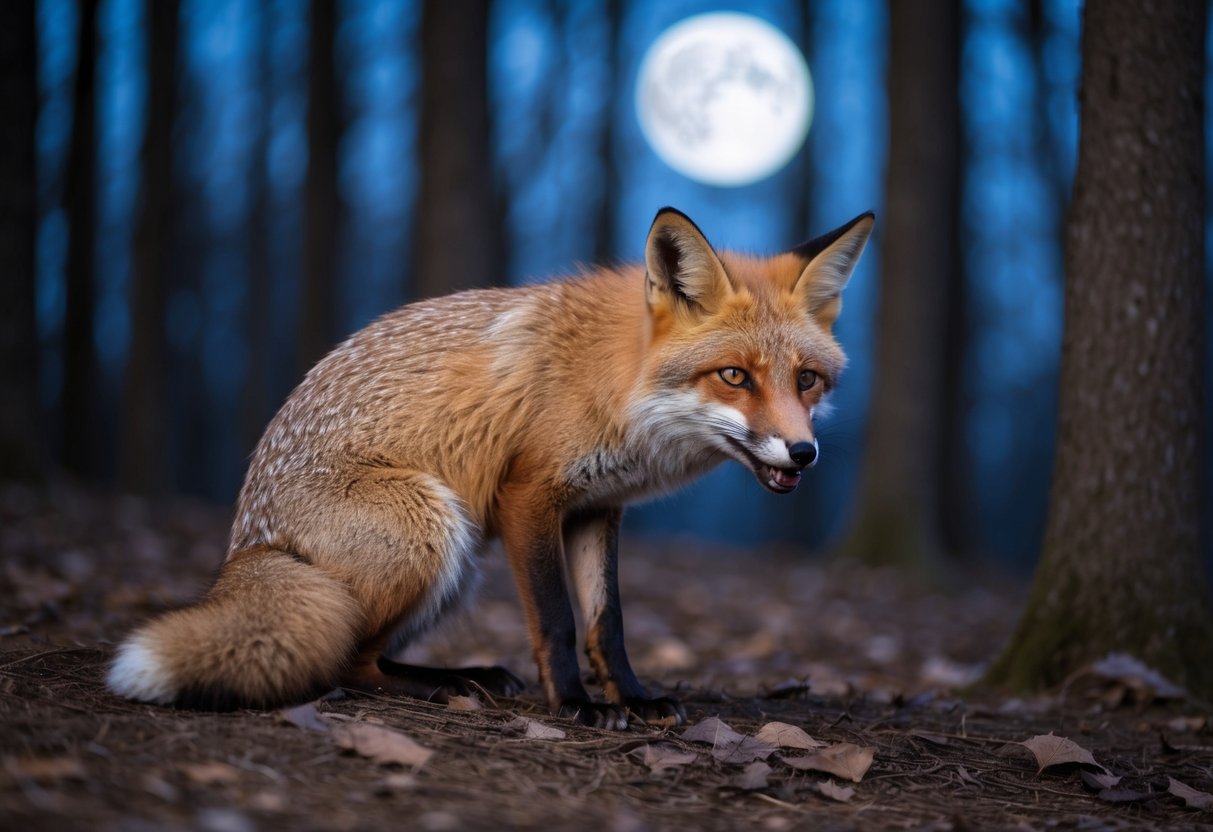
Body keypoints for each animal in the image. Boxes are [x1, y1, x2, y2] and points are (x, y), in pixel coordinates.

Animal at [107, 207, 873, 729]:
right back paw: (450, 686)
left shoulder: (597, 506)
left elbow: (608, 622)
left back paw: (470, 675)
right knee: (347, 662)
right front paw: (576, 706)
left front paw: (633, 697)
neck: (616, 386)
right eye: (734, 376)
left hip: (457, 564)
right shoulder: (528, 495)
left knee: (362, 653)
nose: (802, 453)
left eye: (806, 381)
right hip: (432, 525)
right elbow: (558, 620)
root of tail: (244, 549)